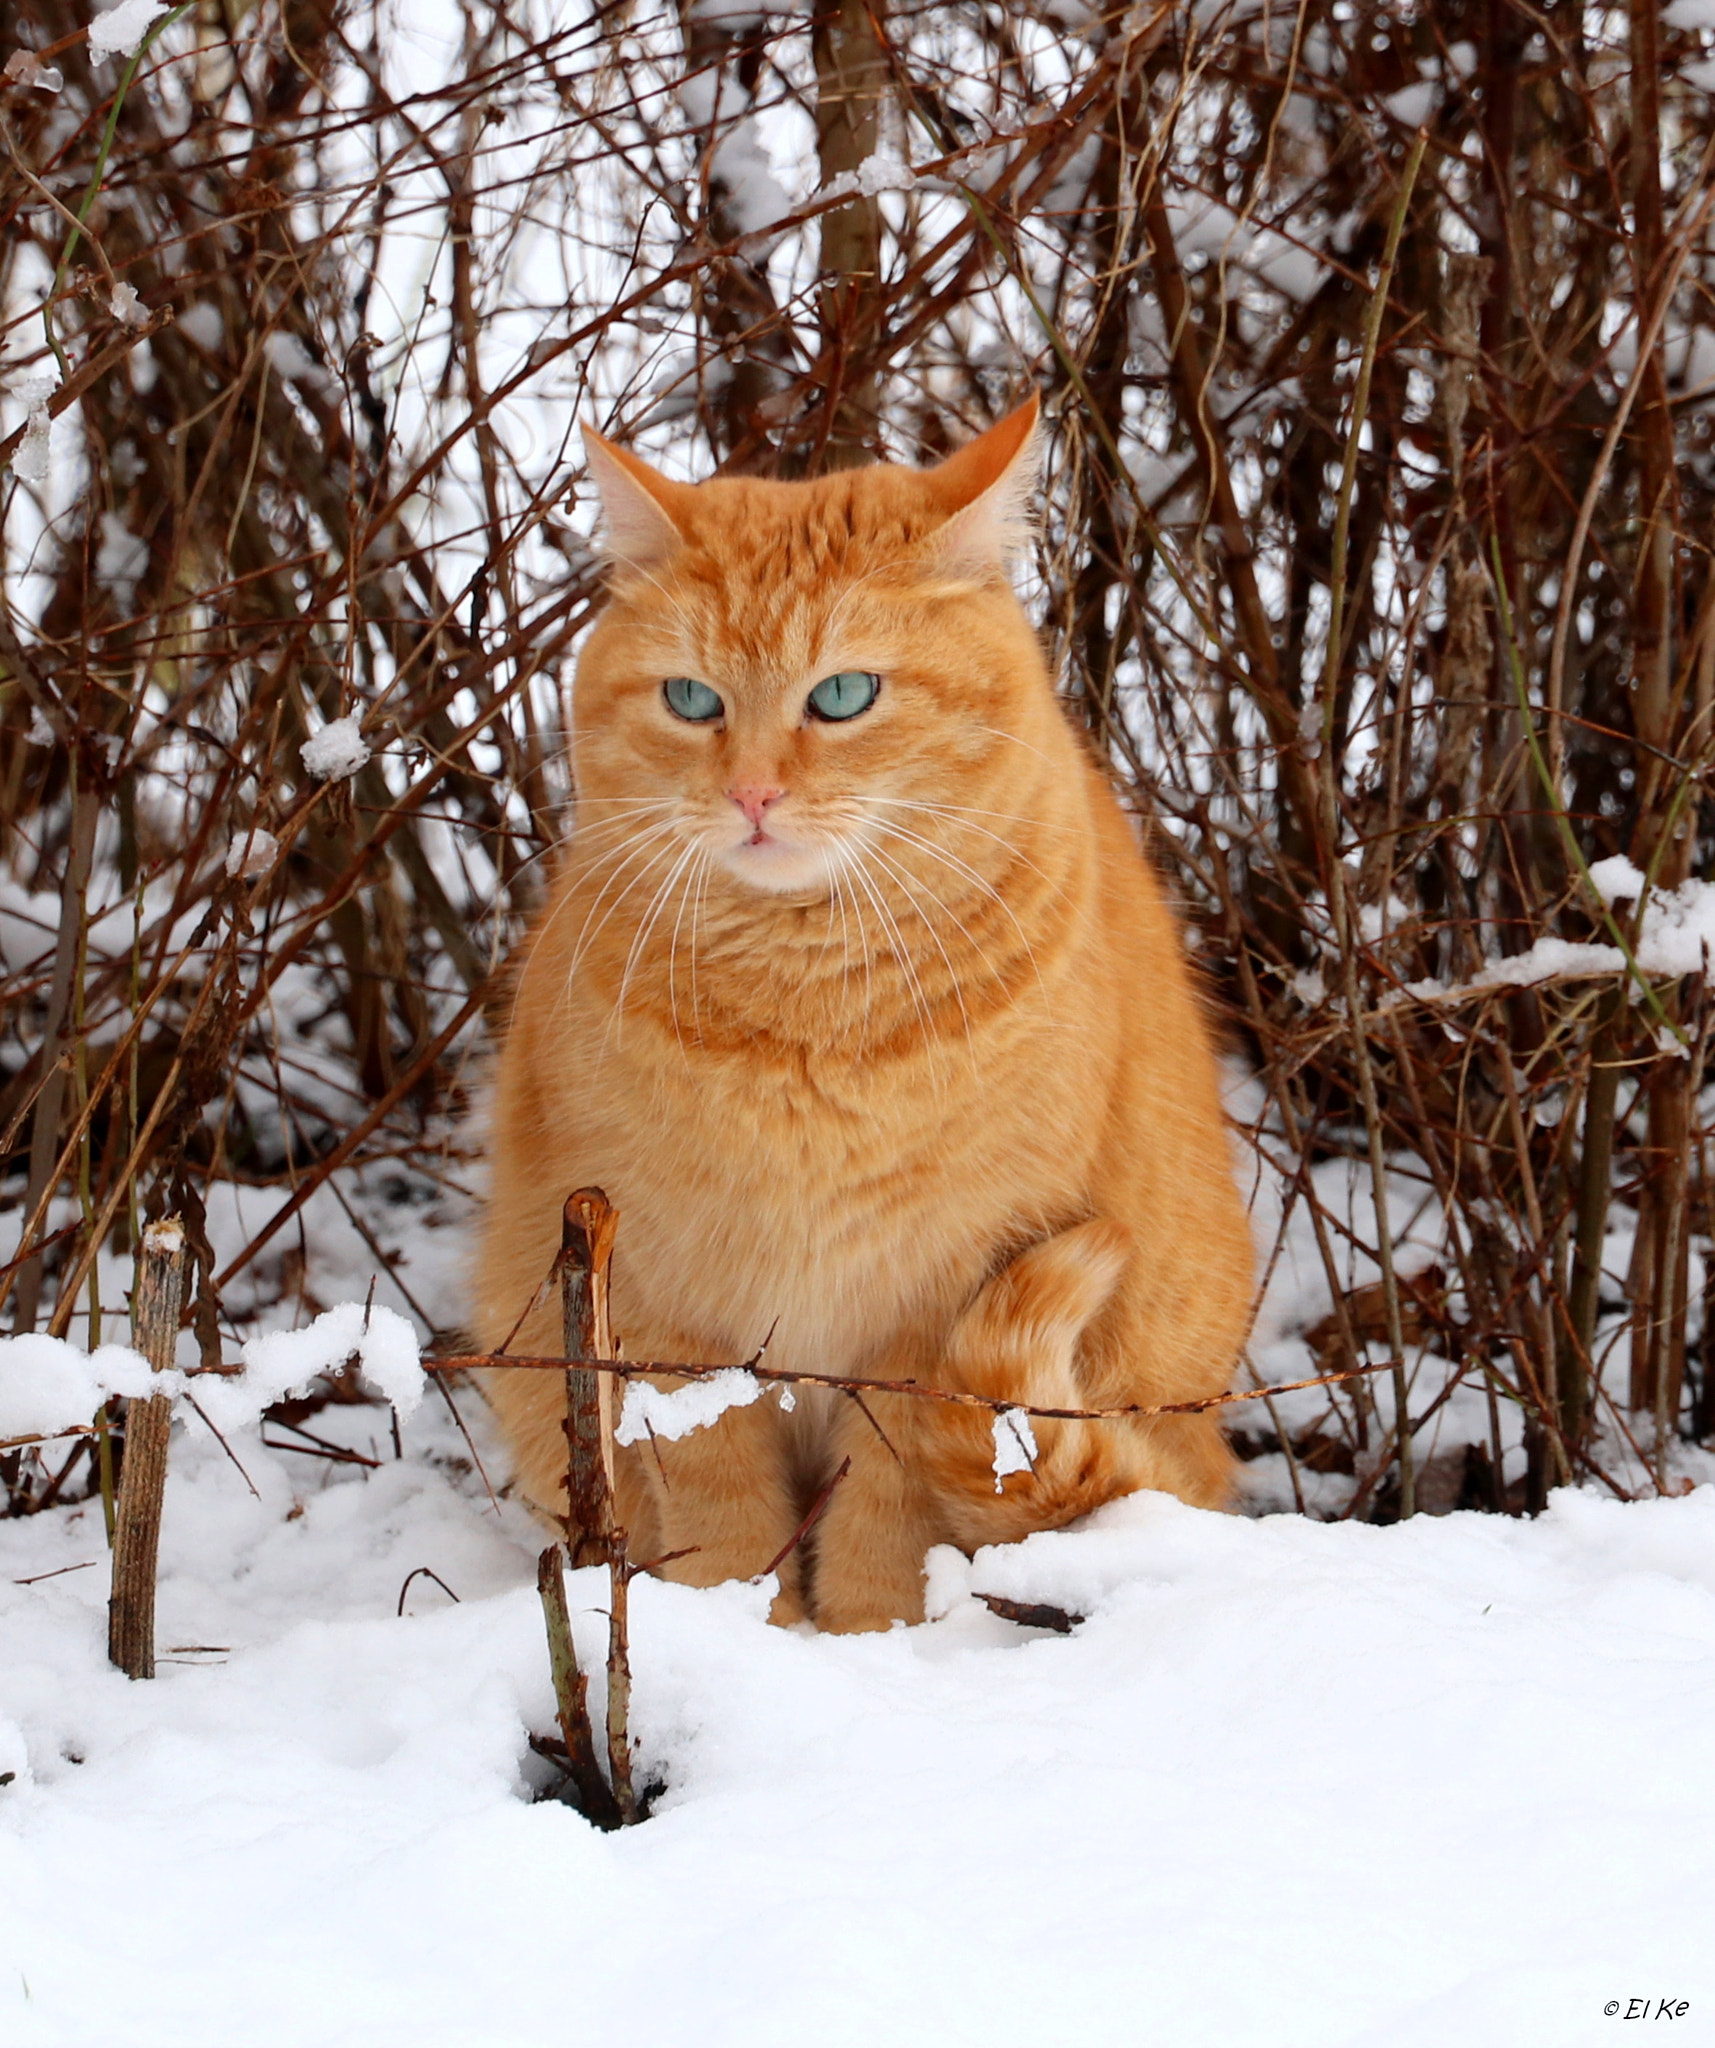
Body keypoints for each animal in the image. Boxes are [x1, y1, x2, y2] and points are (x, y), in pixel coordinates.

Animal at [475, 399, 1253, 1630]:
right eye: (691, 700)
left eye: (842, 696)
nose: (750, 793)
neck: (802, 1016)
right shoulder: (667, 1319)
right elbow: (720, 1507)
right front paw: (745, 1634)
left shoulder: (921, 1323)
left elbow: (887, 1513)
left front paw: (869, 1641)